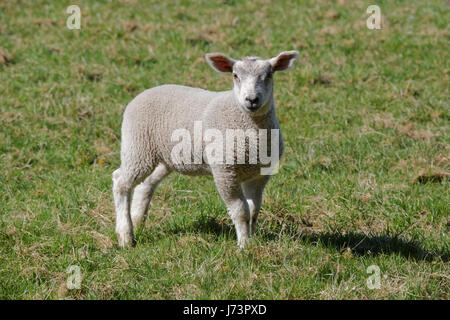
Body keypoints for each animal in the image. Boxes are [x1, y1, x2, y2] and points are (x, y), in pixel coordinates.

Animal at [112, 51, 298, 249]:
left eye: (269, 75)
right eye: (235, 76)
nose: (252, 100)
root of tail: (143, 93)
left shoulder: (260, 174)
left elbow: (254, 210)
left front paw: (253, 240)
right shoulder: (225, 171)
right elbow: (241, 211)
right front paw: (244, 245)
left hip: (165, 157)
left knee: (145, 185)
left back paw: (137, 222)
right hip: (138, 147)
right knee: (120, 182)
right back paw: (125, 236)